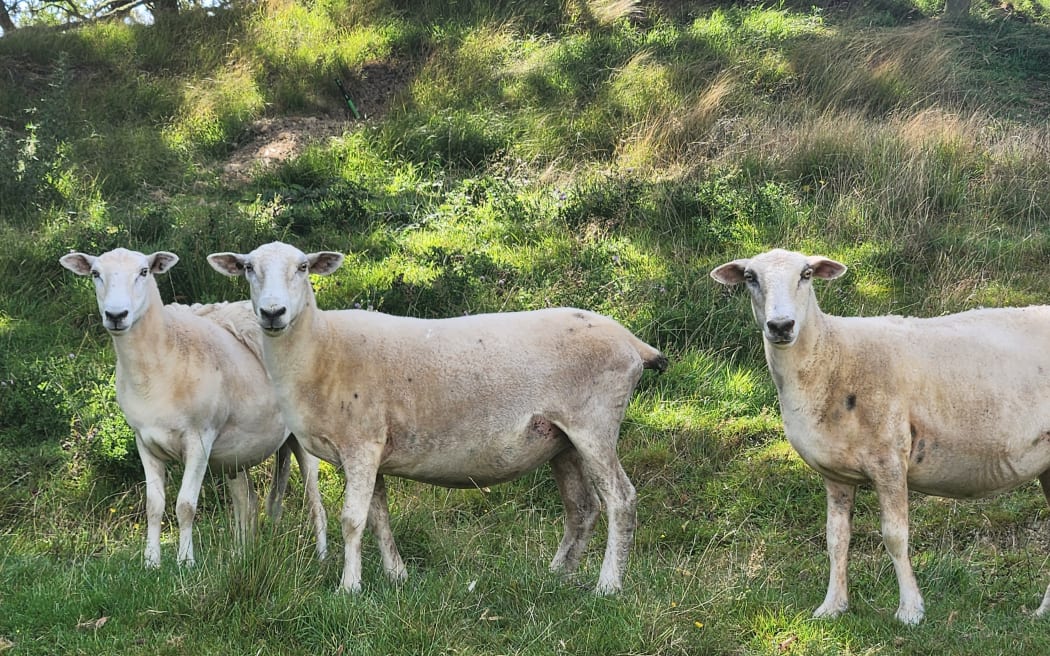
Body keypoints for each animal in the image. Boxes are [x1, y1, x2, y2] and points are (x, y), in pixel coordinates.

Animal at [60, 247, 328, 567]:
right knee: (247, 502)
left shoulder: (200, 438)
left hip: (302, 438)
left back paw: (322, 556)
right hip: (238, 451)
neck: (158, 365)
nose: (116, 315)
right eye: (95, 274)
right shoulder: (144, 442)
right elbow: (153, 506)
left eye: (143, 272)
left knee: (316, 503)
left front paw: (185, 562)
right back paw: (241, 556)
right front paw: (151, 562)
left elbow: (185, 505)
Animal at [207, 241, 667, 594]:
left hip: (595, 424)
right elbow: (379, 516)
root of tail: (632, 342)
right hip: (560, 439)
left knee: (620, 500)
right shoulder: (377, 448)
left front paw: (349, 588)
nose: (272, 313)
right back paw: (555, 577)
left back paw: (608, 586)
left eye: (302, 267)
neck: (321, 350)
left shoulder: (361, 444)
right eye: (248, 268)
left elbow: (352, 520)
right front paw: (397, 576)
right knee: (582, 507)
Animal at [711, 247, 1050, 624]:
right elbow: (836, 539)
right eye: (750, 277)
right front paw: (833, 606)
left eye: (806, 274)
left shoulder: (889, 458)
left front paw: (911, 610)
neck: (832, 355)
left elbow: (895, 537)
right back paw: (1044, 611)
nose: (781, 326)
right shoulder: (836, 474)